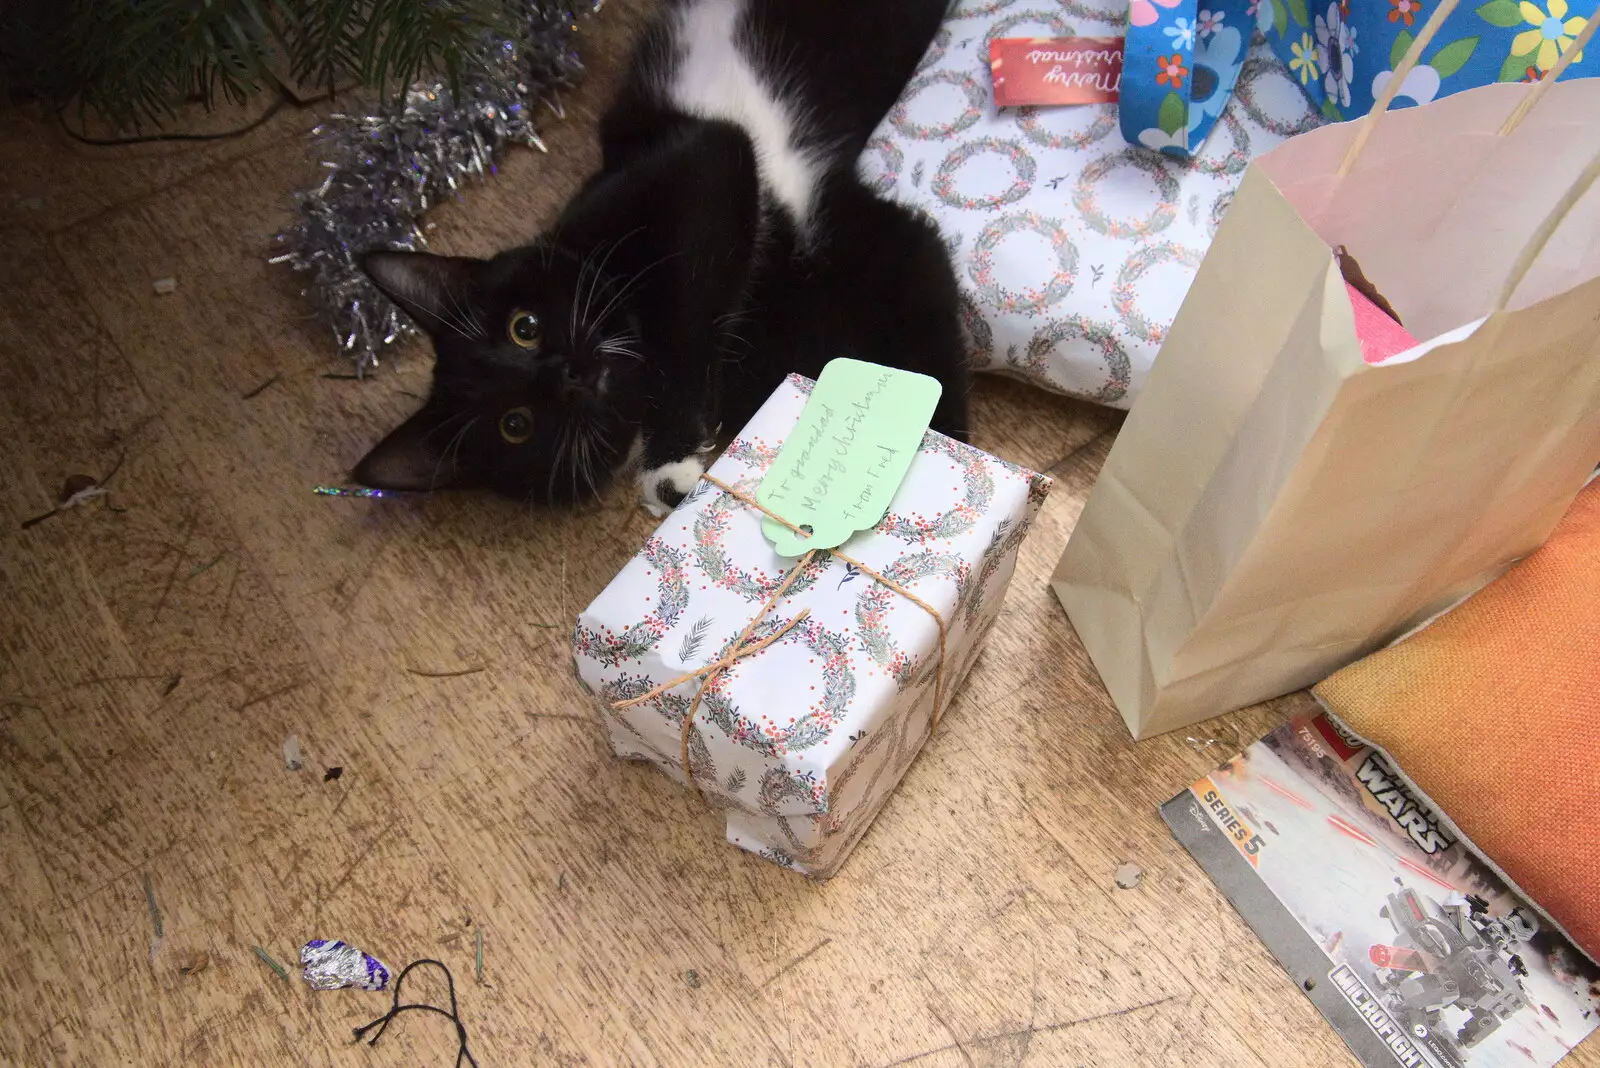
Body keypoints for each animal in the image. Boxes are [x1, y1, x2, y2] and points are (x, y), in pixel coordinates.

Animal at [356, 0, 966, 511]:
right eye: (515, 425)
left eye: (522, 327)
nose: (566, 374)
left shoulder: (708, 163)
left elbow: (686, 314)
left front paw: (668, 462)